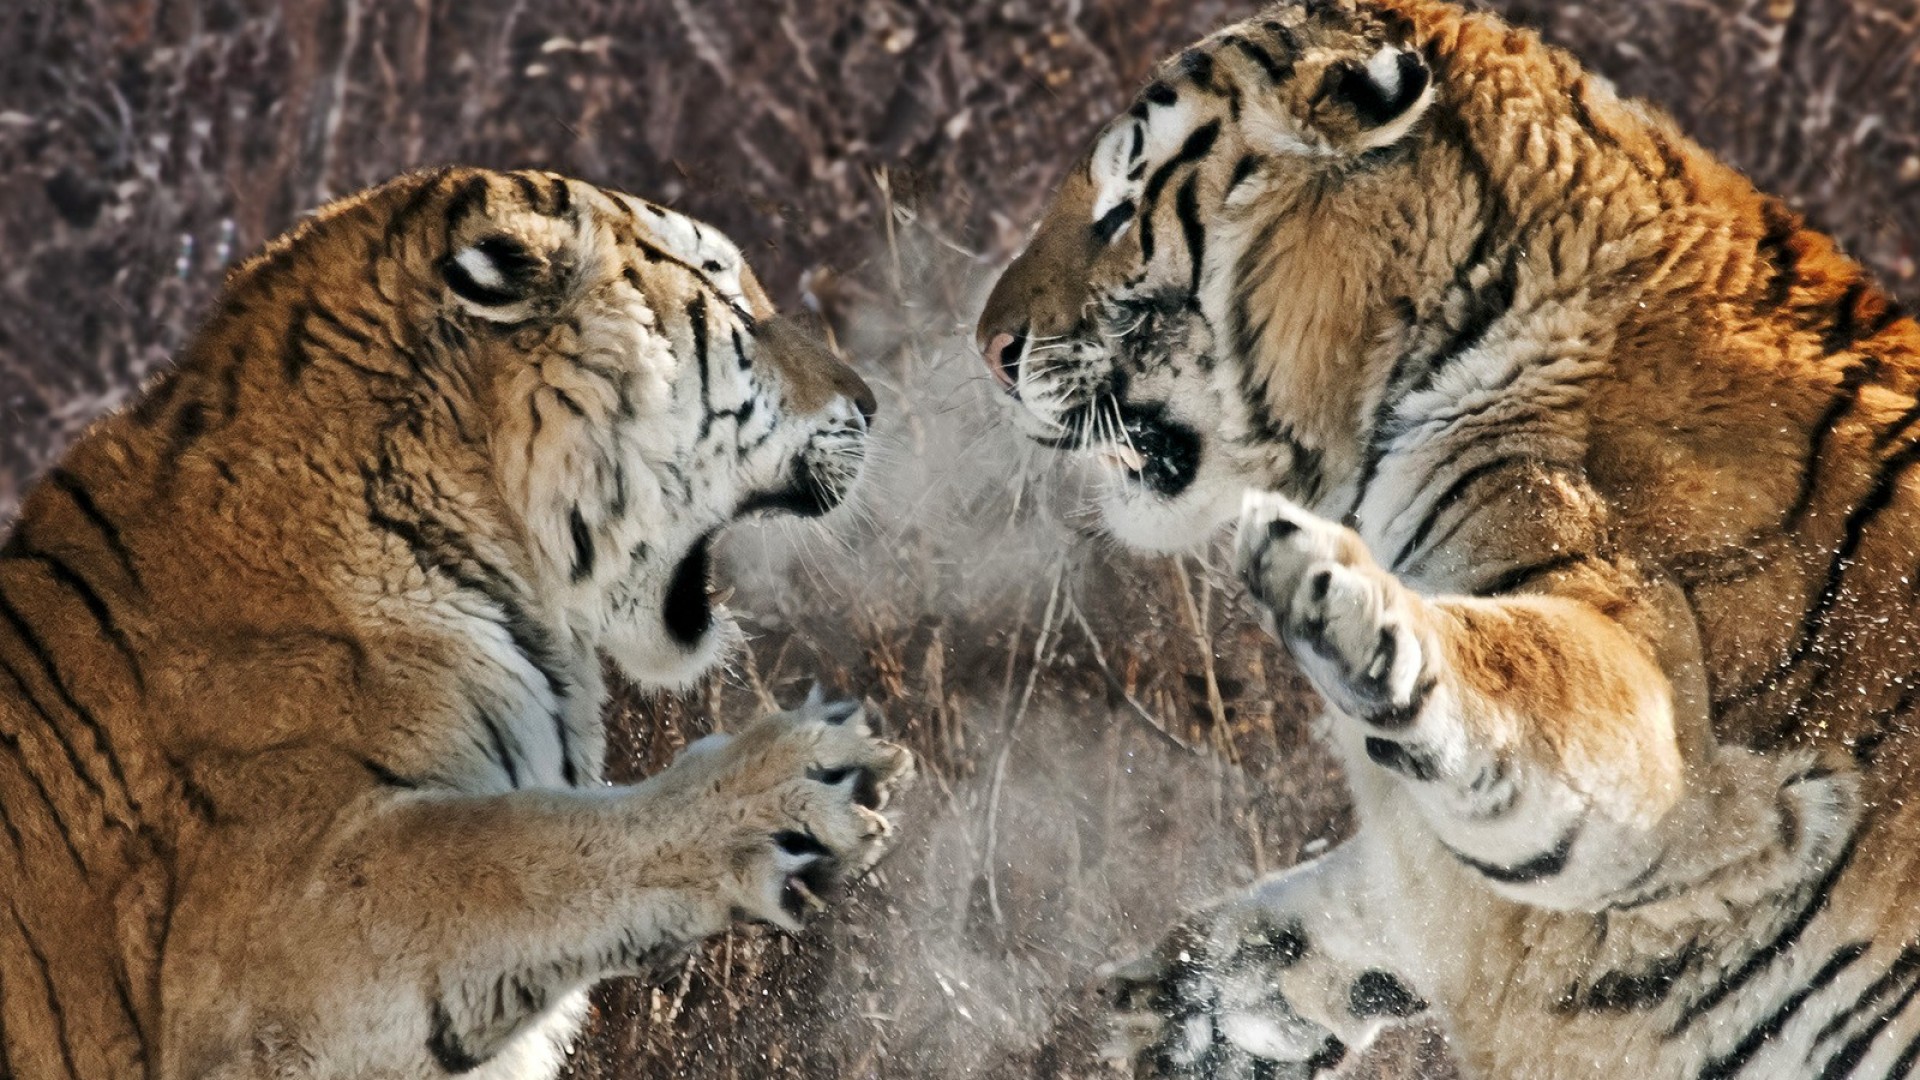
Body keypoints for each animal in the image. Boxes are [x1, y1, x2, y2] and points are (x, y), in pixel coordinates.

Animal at [975, 0, 1920, 1076]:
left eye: (1123, 207)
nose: (989, 350)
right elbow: (1338, 907)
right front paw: (1173, 1003)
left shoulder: (1668, 739)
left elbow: (1523, 687)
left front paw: (1340, 600)